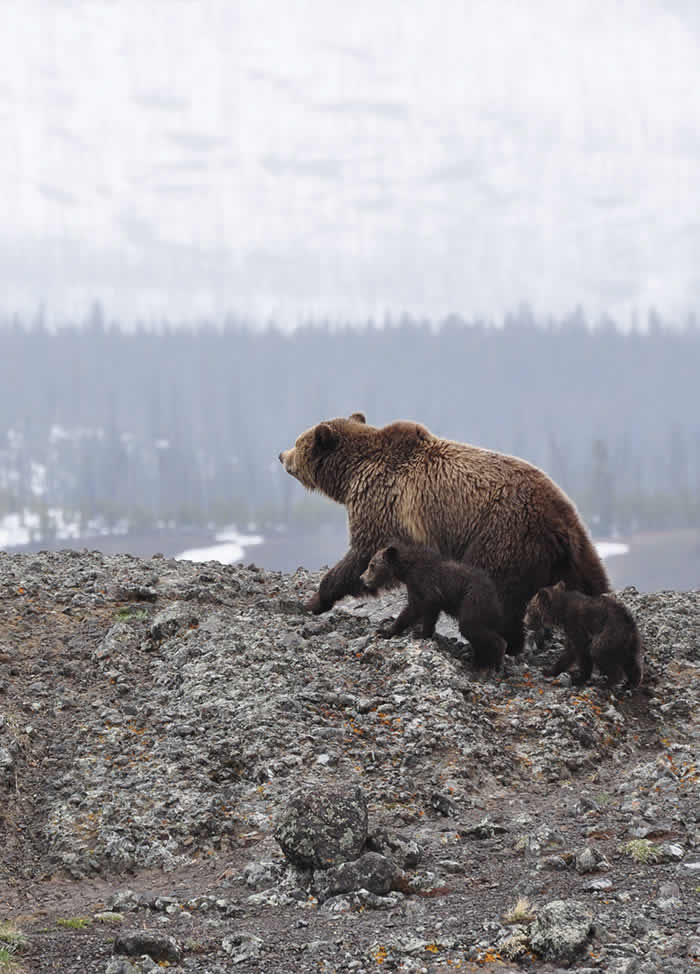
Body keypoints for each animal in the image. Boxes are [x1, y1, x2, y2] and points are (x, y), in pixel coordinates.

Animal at [358, 540, 506, 672]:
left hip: (473, 600)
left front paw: (413, 633)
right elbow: (419, 610)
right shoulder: (417, 587)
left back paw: (494, 661)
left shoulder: (426, 582)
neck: (407, 569)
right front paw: (388, 631)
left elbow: (421, 607)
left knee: (470, 626)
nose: (362, 578)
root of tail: (495, 597)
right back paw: (479, 661)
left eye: (371, 565)